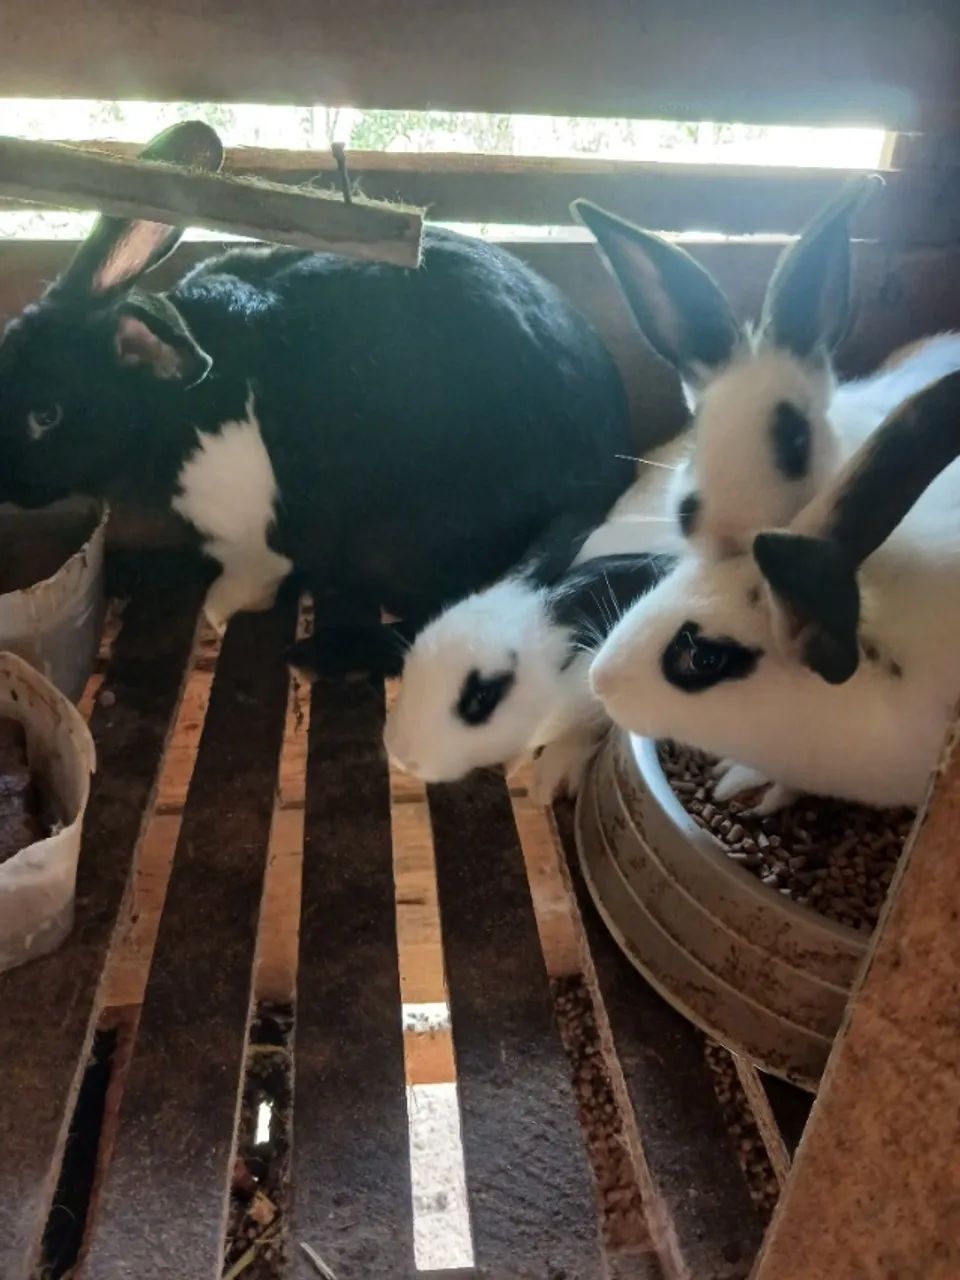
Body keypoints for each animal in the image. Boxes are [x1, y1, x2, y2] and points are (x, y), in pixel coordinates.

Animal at [0, 122, 635, 676]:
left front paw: (218, 610)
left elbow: (249, 575)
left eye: (46, 414)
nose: (6, 487)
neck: (168, 405)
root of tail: (601, 476)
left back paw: (328, 651)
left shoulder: (249, 533)